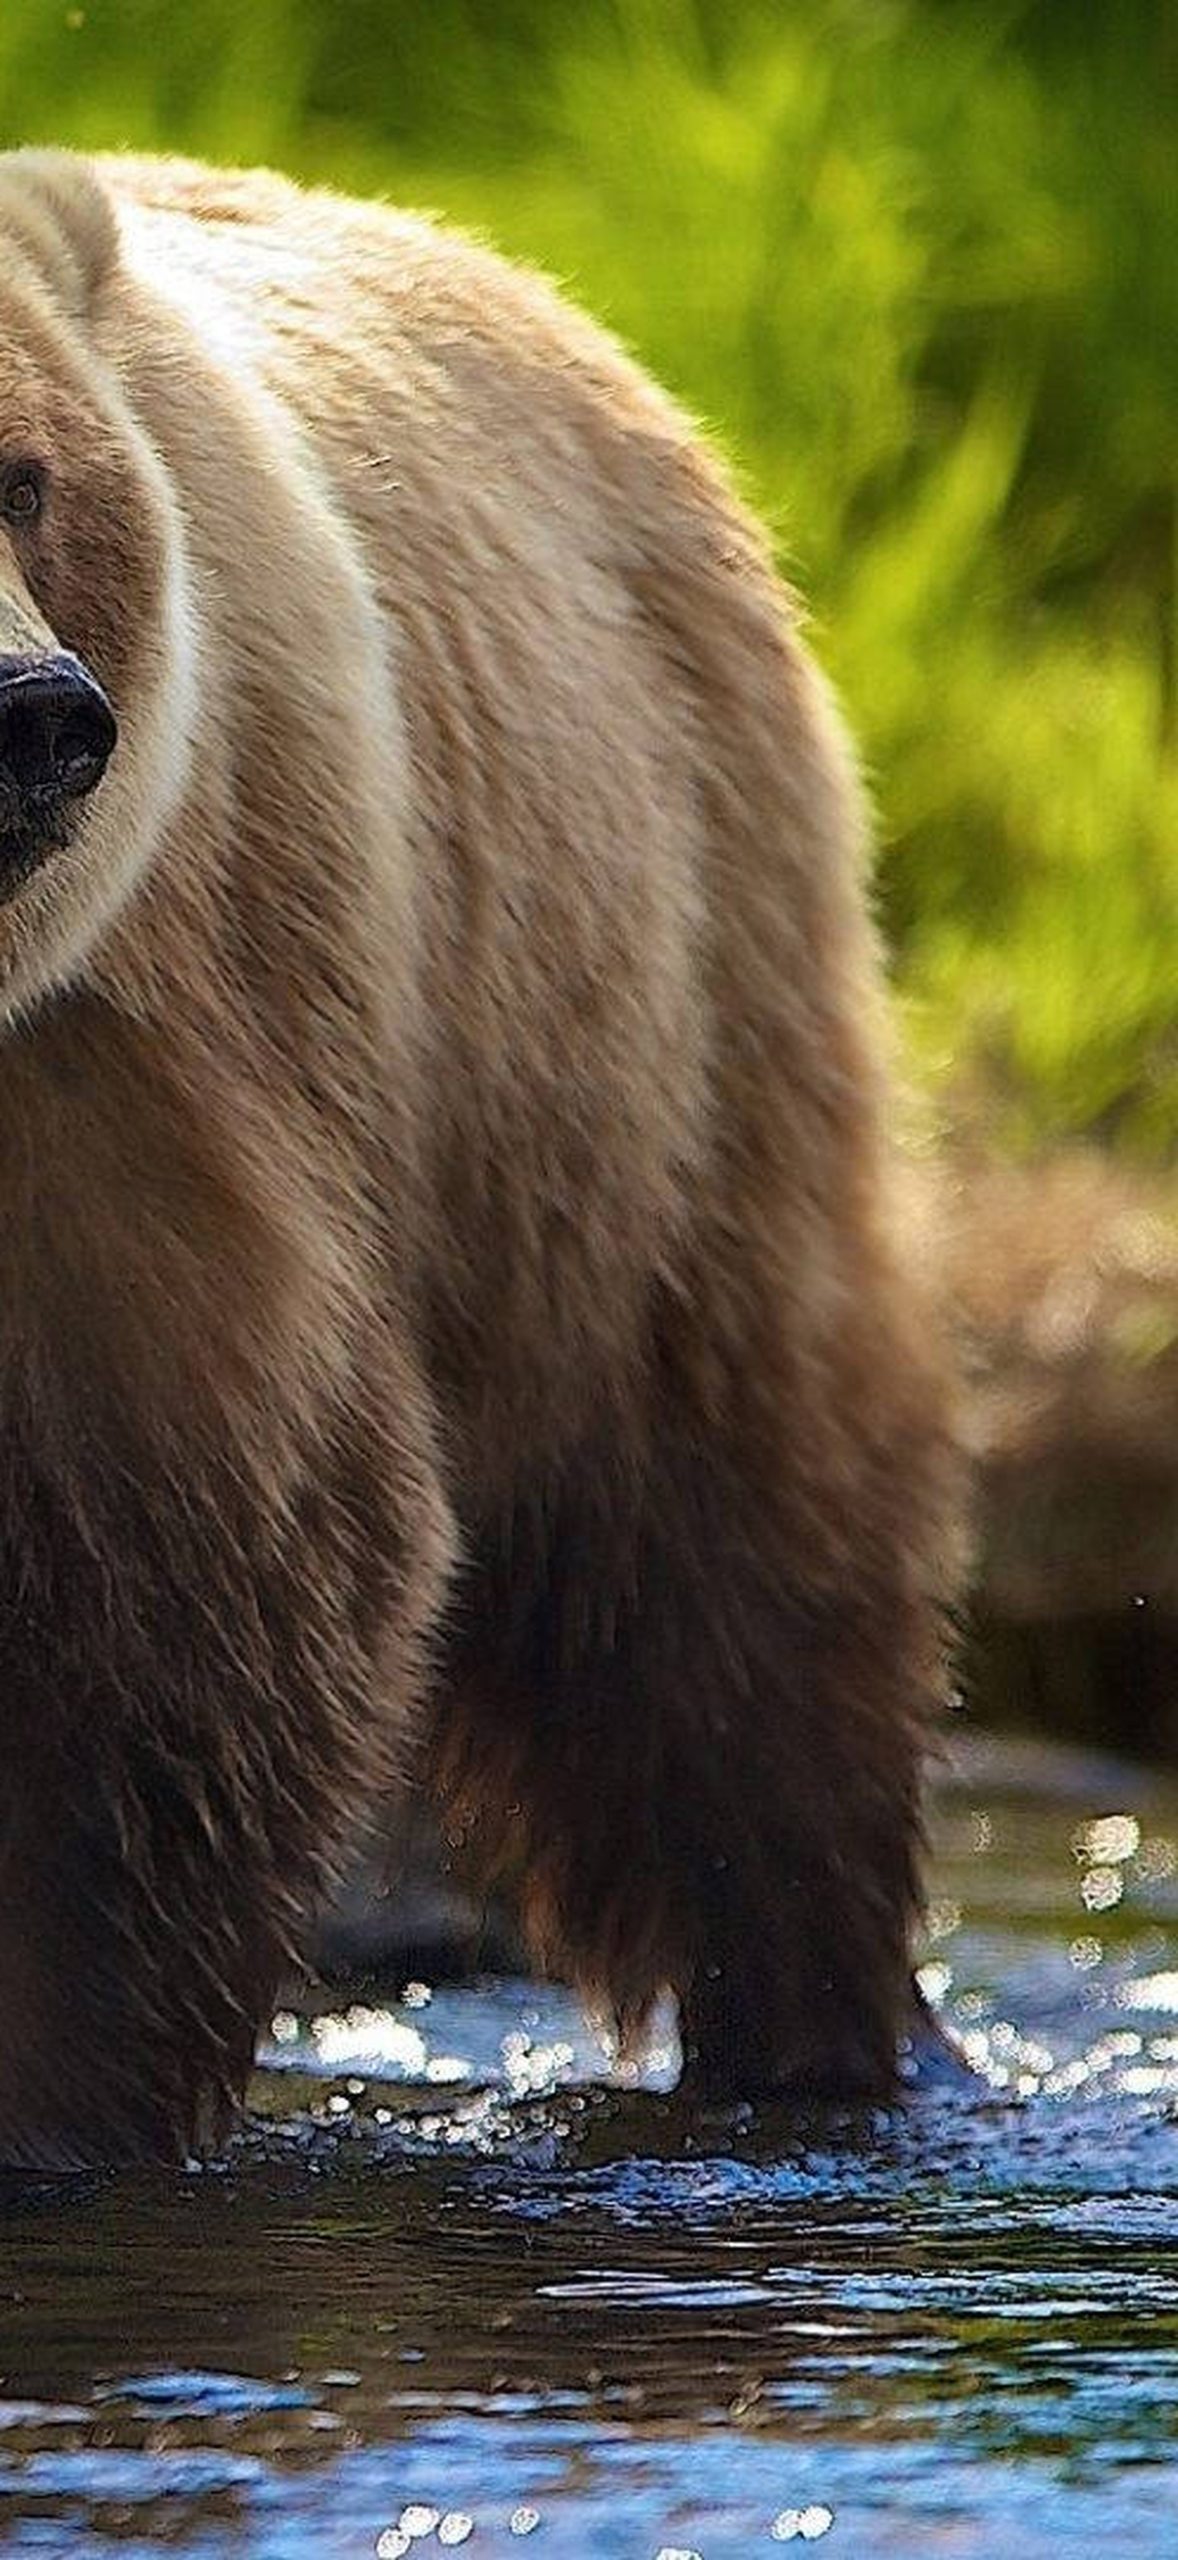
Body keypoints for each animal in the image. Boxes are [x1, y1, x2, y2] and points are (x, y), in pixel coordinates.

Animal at [0, 148, 958, 2165]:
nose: (33, 717)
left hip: (635, 1058)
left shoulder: (114, 1085)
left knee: (736, 1586)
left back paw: (819, 2040)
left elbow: (176, 1603)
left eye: (23, 477)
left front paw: (51, 2115)